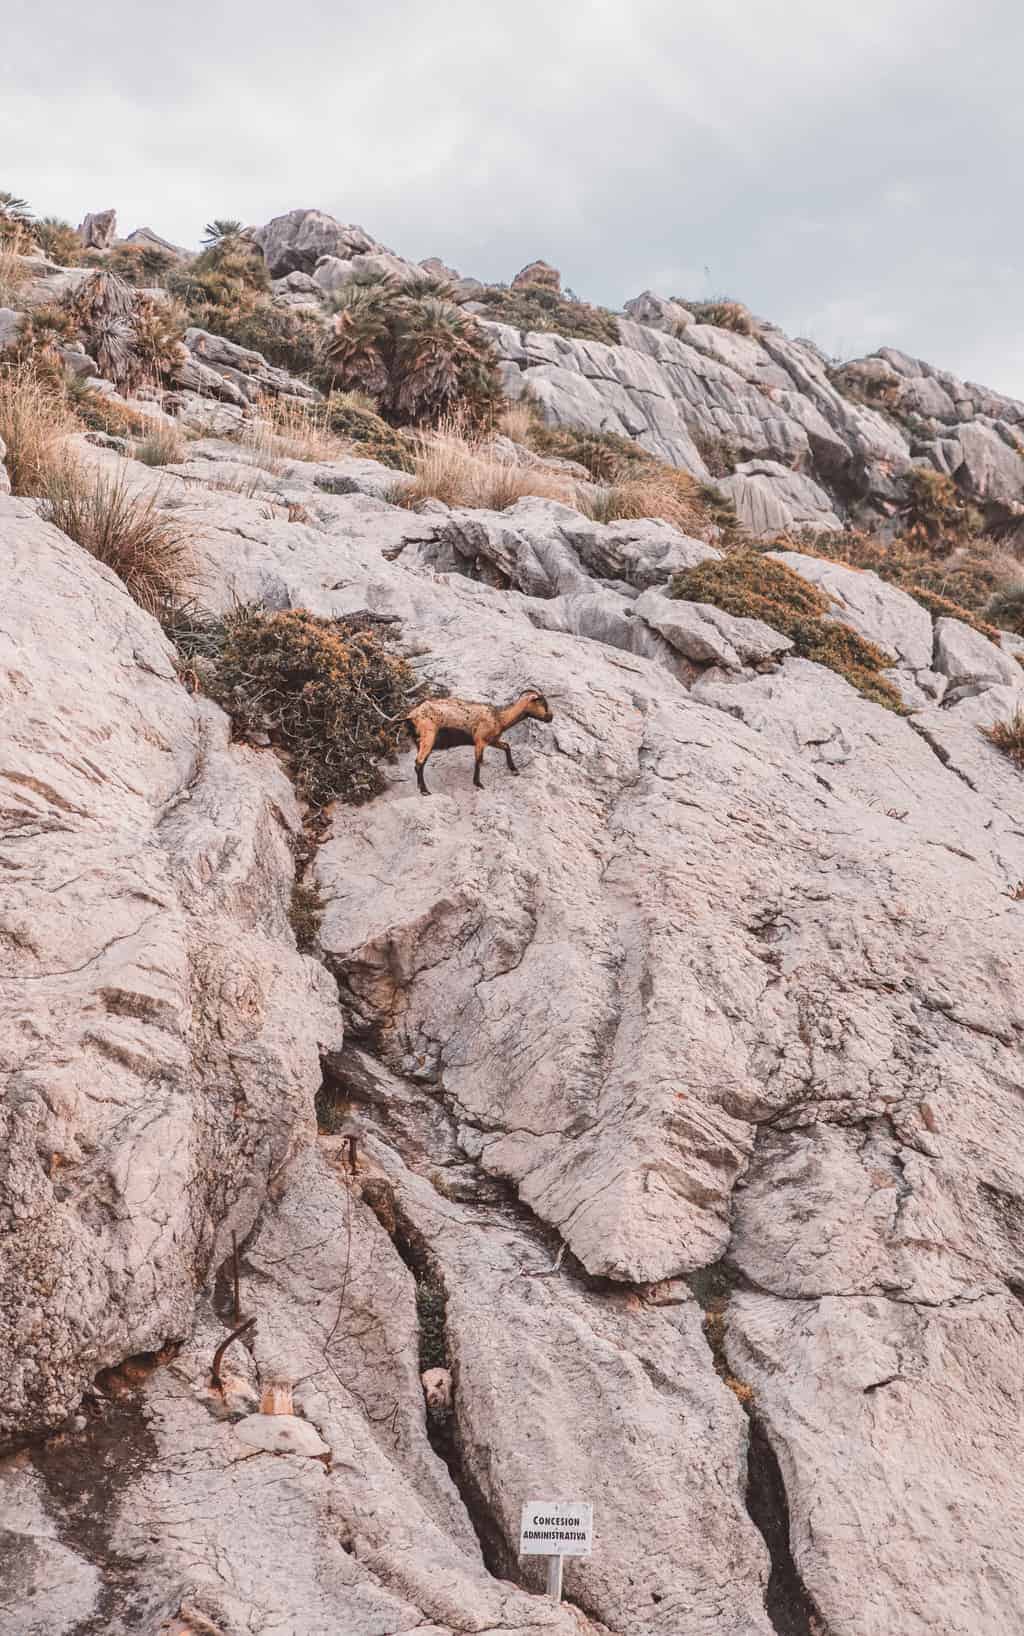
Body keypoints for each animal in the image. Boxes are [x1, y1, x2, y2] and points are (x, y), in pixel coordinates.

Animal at [402, 687, 552, 795]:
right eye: (542, 702)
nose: (550, 717)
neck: (500, 718)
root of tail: (411, 716)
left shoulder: (492, 740)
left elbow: (506, 746)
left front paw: (514, 770)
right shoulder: (480, 740)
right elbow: (478, 760)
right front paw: (478, 783)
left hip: (421, 740)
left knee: (419, 763)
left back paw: (421, 788)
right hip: (428, 736)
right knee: (419, 762)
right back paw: (425, 791)